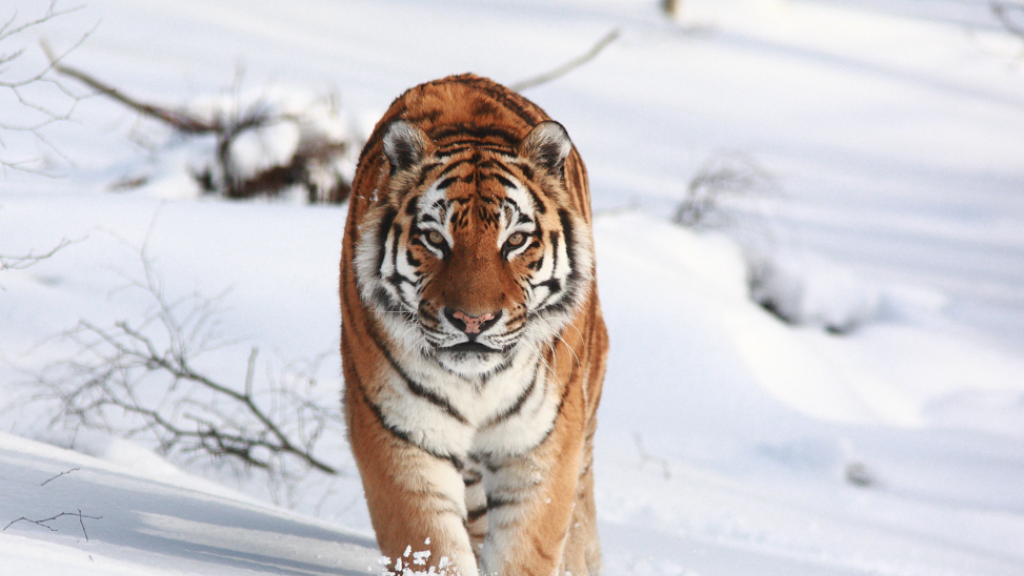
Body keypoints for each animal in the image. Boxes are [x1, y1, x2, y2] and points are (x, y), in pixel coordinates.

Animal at [339, 75, 606, 573]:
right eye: (434, 239)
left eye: (515, 241)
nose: (472, 321)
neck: (479, 383)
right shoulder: (400, 436)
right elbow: (431, 546)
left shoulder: (540, 447)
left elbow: (526, 552)